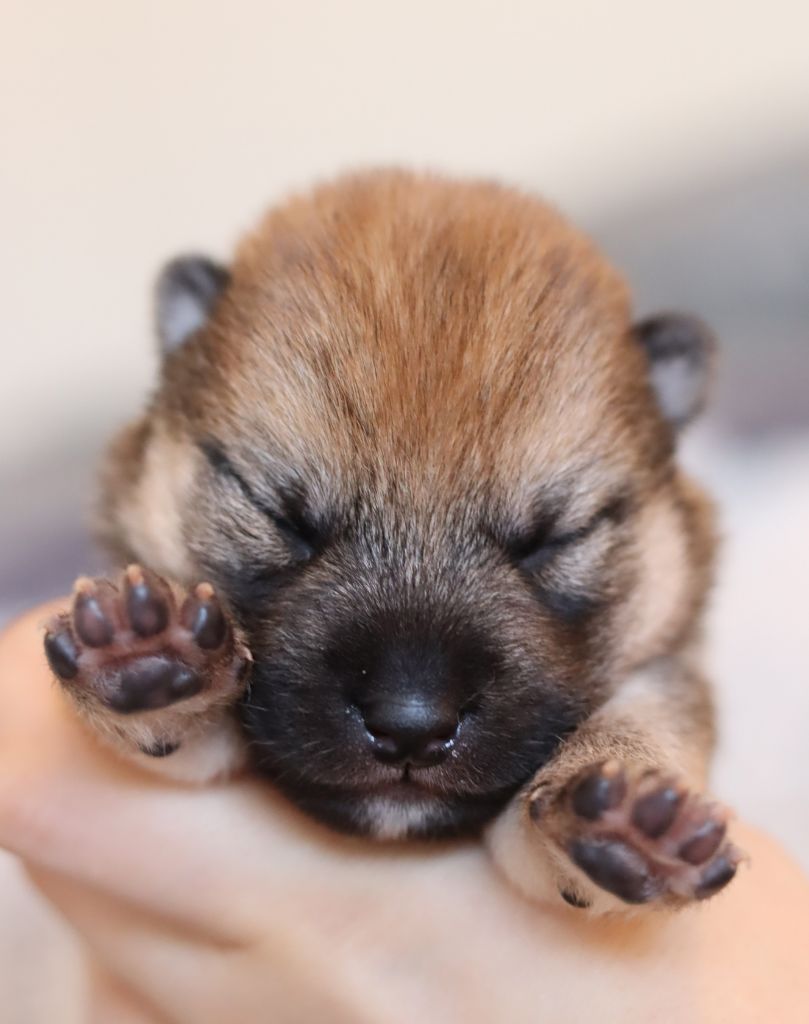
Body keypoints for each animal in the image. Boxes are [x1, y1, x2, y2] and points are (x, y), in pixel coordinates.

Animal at [43, 170, 739, 913]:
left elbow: (647, 716)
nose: (410, 725)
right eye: (279, 514)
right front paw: (143, 653)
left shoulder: (662, 670)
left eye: (552, 539)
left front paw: (633, 818)